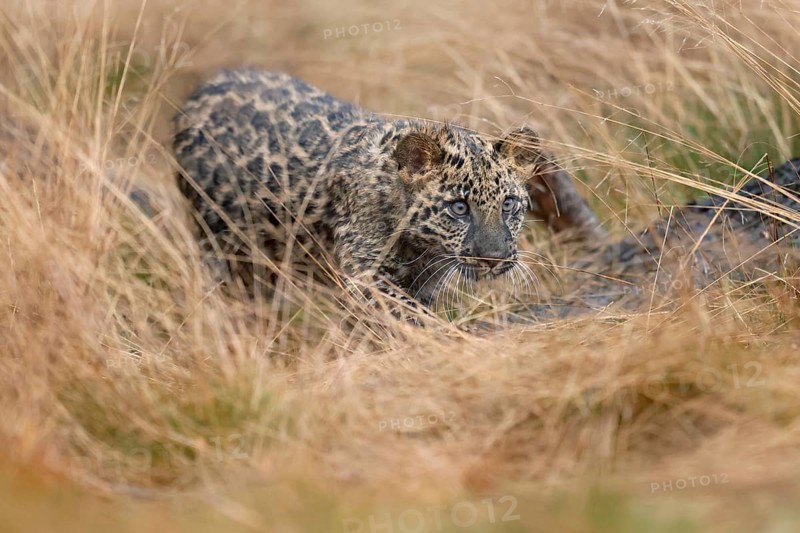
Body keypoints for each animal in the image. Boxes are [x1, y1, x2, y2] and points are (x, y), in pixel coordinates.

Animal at [173, 68, 603, 314]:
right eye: (458, 208)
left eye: (510, 204)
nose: (494, 259)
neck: (423, 250)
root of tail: (200, 91)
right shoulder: (367, 276)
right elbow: (404, 317)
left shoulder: (423, 283)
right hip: (223, 244)